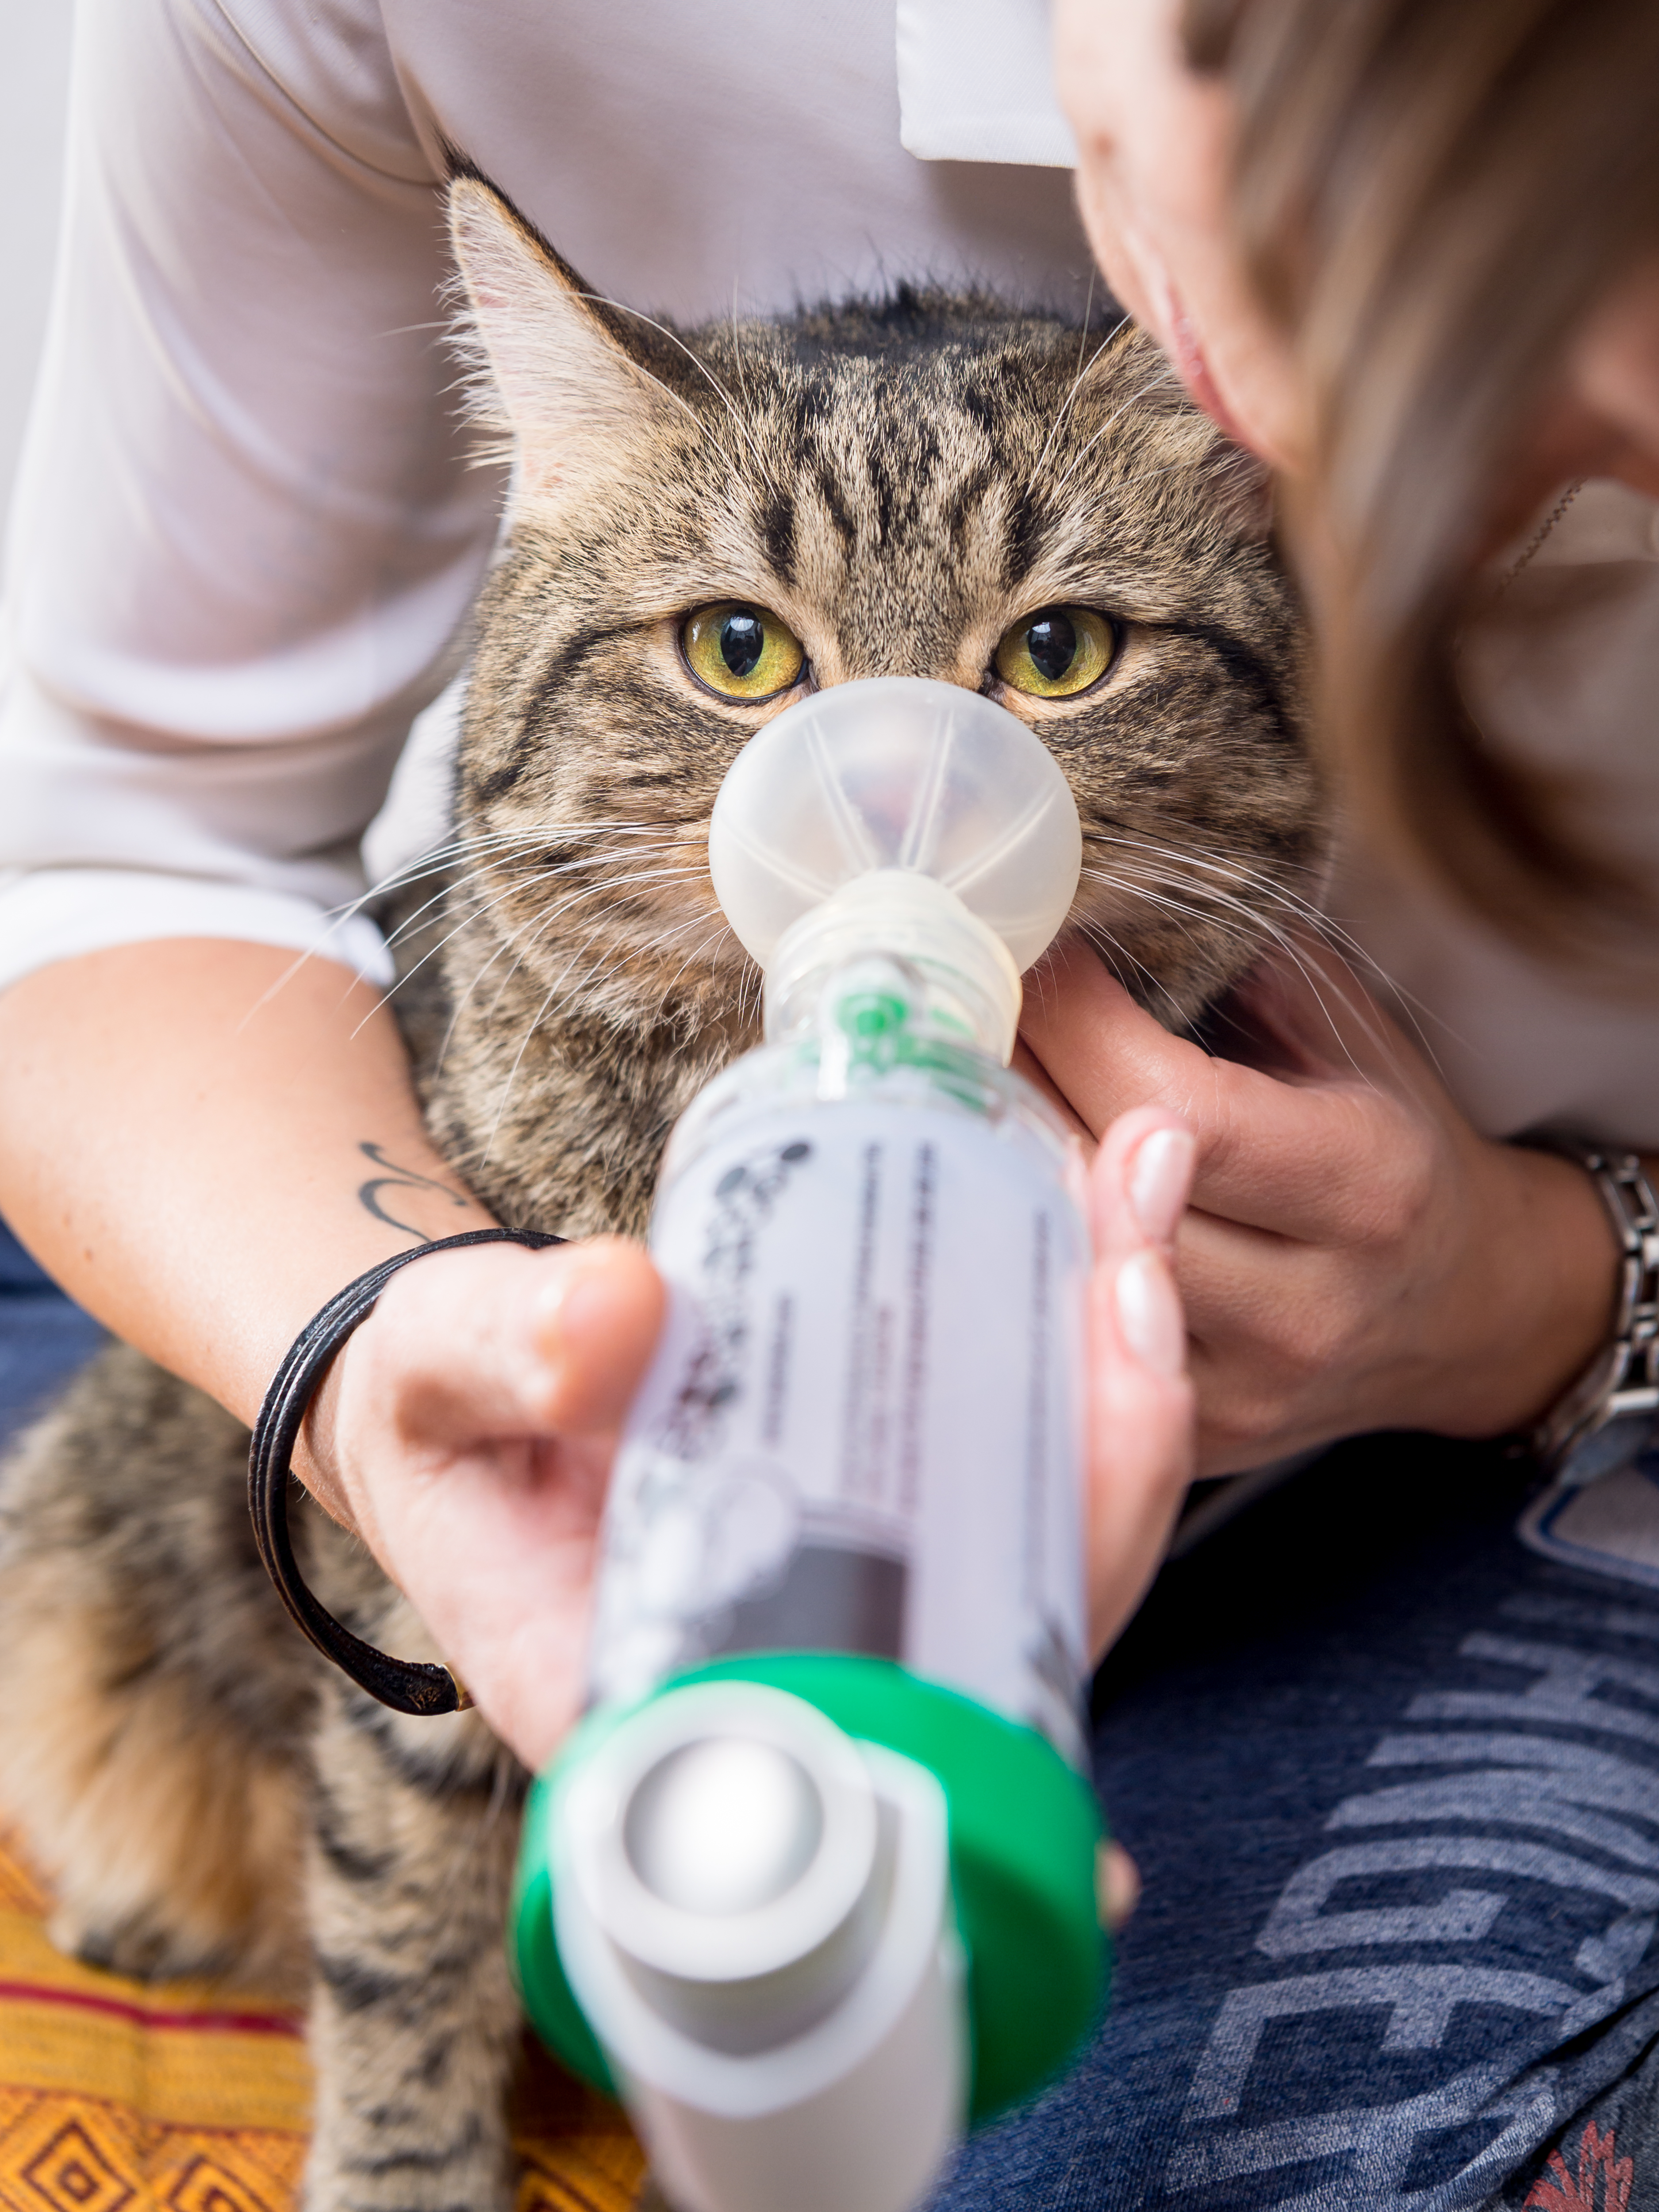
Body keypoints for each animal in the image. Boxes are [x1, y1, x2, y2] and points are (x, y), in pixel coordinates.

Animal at [0, 177, 1327, 2212]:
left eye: (1054, 653)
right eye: (737, 652)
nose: (893, 802)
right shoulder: (410, 1592)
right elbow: (402, 1899)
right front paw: (406, 2162)